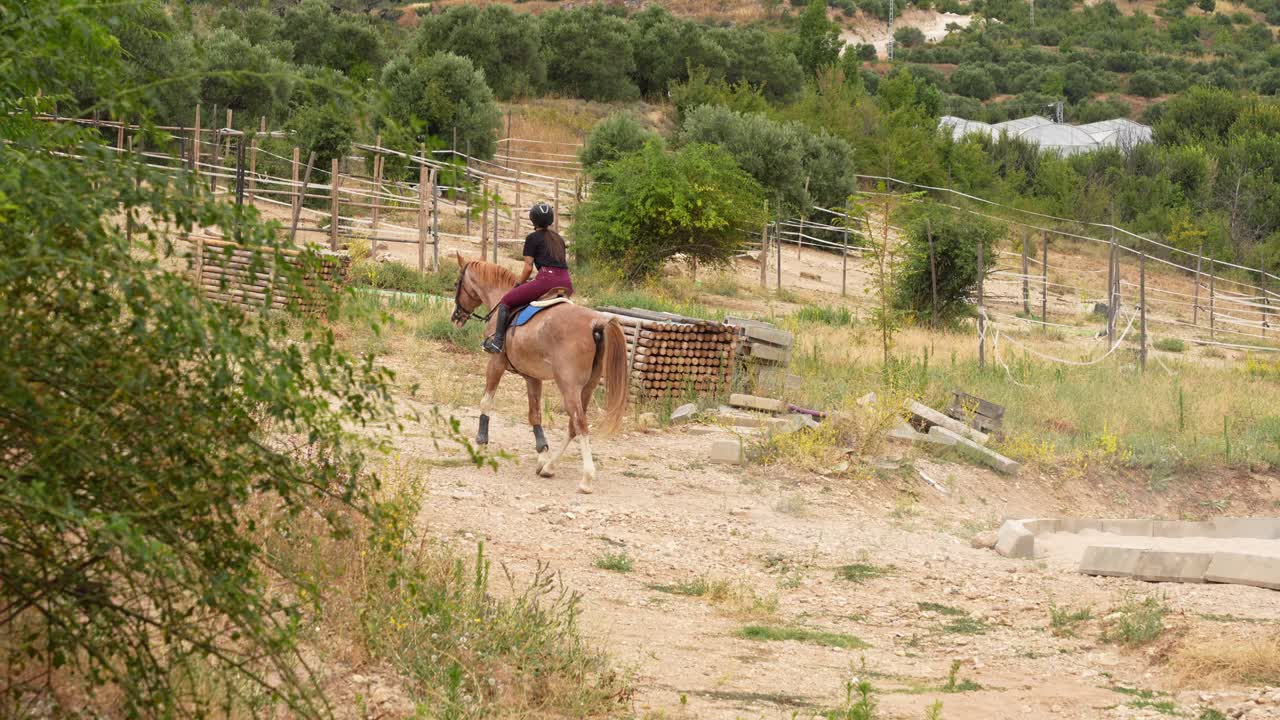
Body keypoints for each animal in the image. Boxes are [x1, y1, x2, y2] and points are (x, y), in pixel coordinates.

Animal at [449, 252, 628, 494]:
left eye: (457, 284)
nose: (455, 317)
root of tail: (596, 322)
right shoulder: (532, 376)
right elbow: (535, 415)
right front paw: (542, 454)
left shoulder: (495, 363)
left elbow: (486, 402)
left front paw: (480, 445)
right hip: (587, 388)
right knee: (573, 426)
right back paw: (550, 467)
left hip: (569, 387)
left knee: (580, 423)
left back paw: (586, 478)